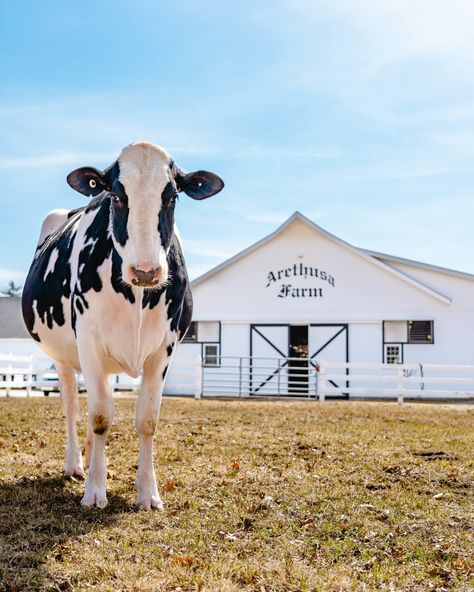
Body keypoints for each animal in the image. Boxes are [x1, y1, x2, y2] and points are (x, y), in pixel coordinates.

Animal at [20, 142, 224, 508]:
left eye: (172, 196)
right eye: (116, 195)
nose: (145, 271)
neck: (137, 297)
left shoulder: (165, 348)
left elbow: (147, 420)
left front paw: (148, 493)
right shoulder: (88, 341)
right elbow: (100, 417)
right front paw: (94, 490)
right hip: (63, 357)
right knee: (72, 405)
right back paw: (76, 464)